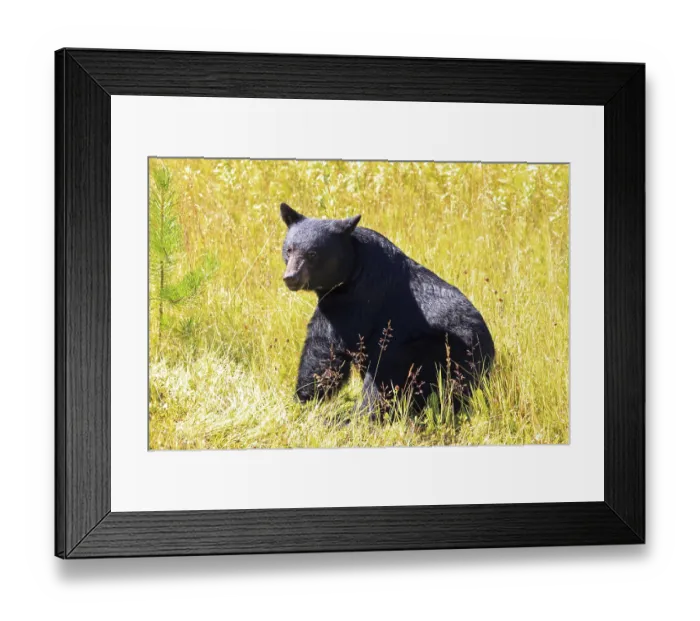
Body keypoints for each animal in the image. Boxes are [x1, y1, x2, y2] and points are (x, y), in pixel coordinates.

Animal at [279, 202, 495, 415]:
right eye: (289, 250)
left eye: (312, 254)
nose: (291, 277)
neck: (353, 266)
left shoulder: (357, 298)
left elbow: (324, 346)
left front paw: (302, 398)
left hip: (433, 352)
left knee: (387, 377)